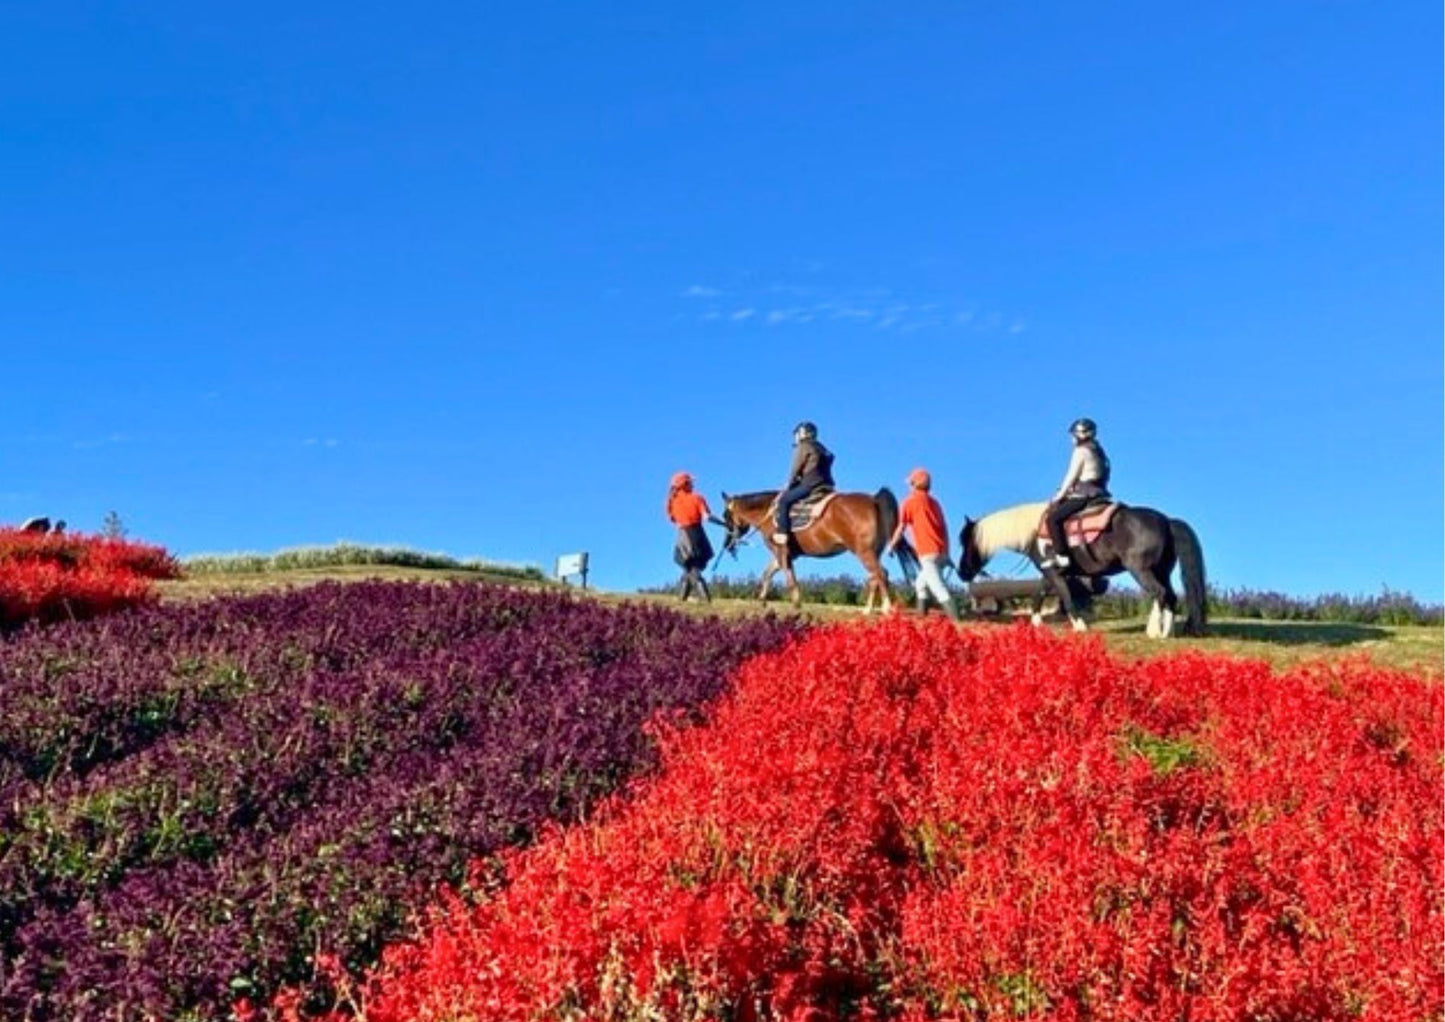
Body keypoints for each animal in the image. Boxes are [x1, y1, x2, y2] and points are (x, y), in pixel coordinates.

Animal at [716, 485, 919, 607]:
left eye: (726, 515)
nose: (727, 544)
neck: (768, 512)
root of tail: (874, 500)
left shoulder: (781, 551)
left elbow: (788, 575)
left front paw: (796, 602)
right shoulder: (786, 554)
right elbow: (768, 573)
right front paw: (762, 599)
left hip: (863, 552)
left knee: (880, 574)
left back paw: (886, 608)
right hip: (872, 552)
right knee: (875, 576)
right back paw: (868, 610)